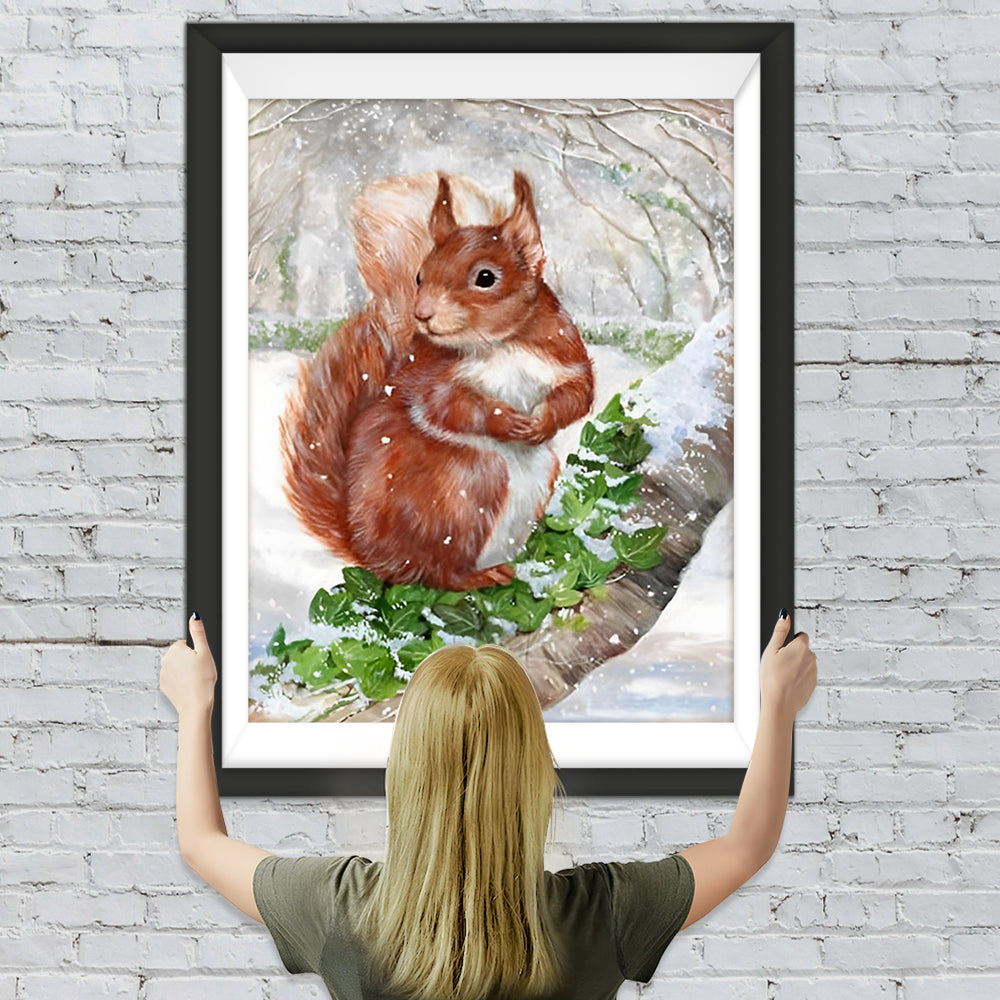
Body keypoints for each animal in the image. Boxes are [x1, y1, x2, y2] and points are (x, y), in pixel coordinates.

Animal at [279, 170, 595, 591]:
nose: (422, 314)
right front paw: (502, 419)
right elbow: (446, 405)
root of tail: (369, 554)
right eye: (419, 275)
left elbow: (578, 394)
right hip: (466, 489)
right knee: (438, 573)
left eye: (486, 277)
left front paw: (543, 421)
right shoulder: (429, 376)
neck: (500, 344)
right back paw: (481, 575)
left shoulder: (564, 356)